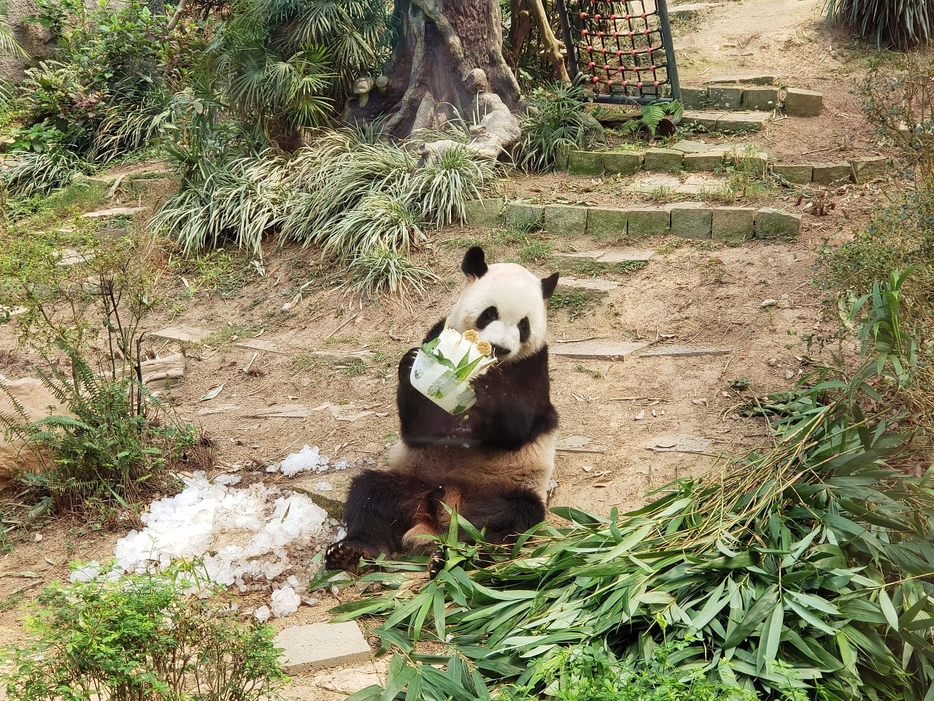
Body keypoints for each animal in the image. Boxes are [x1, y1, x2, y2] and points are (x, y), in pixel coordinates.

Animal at [328, 247, 560, 576]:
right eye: (490, 313)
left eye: (524, 325)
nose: (500, 348)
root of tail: (439, 520)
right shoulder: (436, 334)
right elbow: (418, 429)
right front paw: (411, 366)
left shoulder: (534, 366)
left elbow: (519, 427)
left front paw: (489, 388)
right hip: (414, 484)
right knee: (369, 494)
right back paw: (352, 551)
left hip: (509, 489)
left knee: (509, 519)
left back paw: (458, 555)